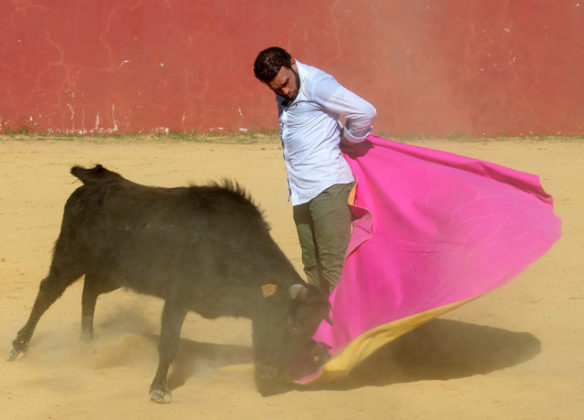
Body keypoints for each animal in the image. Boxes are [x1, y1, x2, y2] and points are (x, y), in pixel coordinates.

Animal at [9, 165, 328, 404]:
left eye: (307, 329)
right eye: (292, 324)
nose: (270, 373)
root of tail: (96, 180)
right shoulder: (177, 297)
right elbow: (169, 343)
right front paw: (159, 389)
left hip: (114, 273)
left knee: (89, 293)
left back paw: (88, 345)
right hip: (71, 255)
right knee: (48, 292)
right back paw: (20, 345)